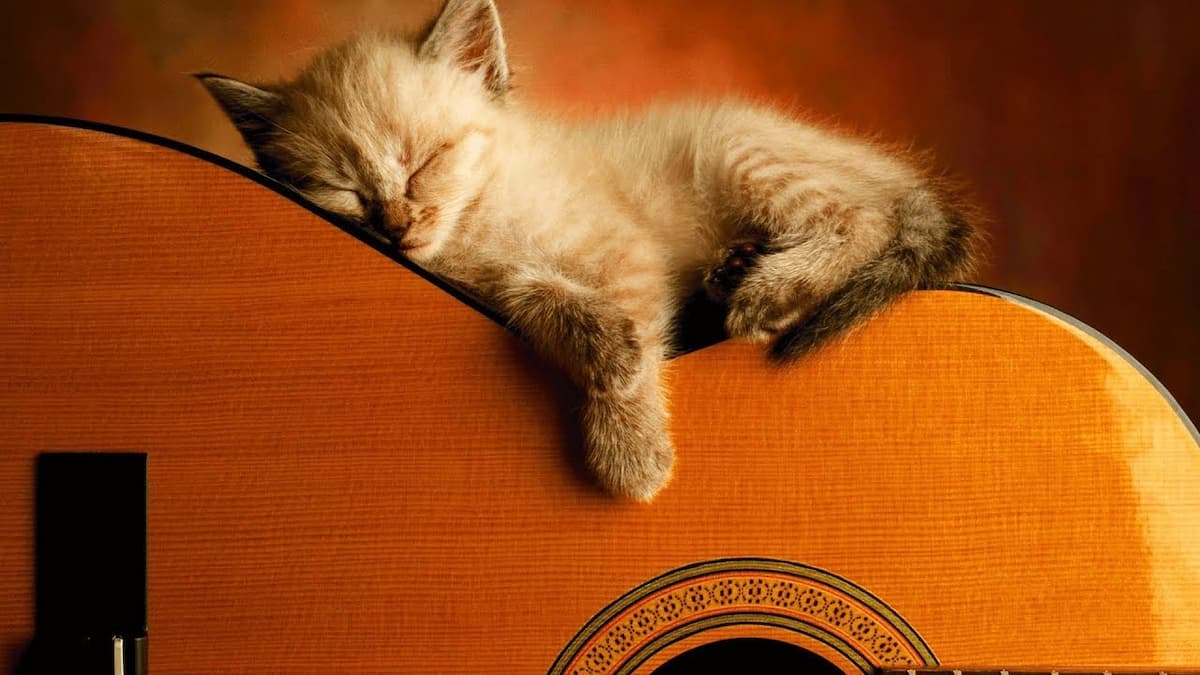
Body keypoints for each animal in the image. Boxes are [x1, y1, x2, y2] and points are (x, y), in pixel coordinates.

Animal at [196, 0, 979, 499]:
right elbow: (535, 290)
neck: (475, 226)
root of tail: (897, 173)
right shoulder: (484, 285)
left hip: (738, 149)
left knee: (865, 219)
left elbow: (636, 348)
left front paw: (630, 453)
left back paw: (769, 288)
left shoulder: (626, 252)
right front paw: (603, 351)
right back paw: (732, 271)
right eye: (345, 192)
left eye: (425, 163)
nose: (397, 226)